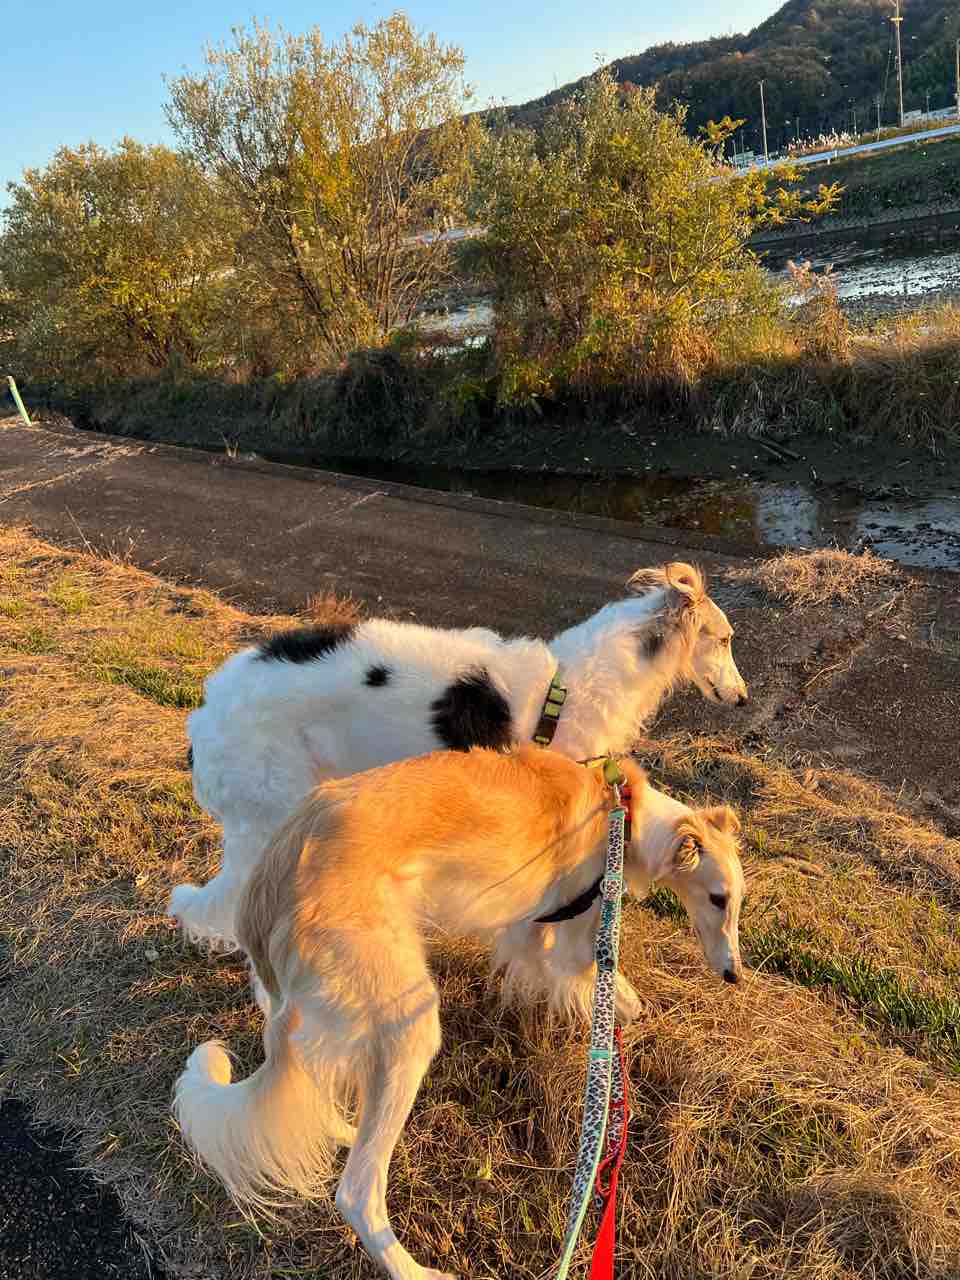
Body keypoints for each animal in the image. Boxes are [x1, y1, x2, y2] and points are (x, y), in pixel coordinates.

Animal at [174, 745, 745, 1280]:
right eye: (718, 899)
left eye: (737, 901)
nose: (734, 975)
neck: (622, 815)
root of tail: (273, 881)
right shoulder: (575, 942)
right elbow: (605, 986)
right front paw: (629, 1023)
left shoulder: (529, 931)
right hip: (408, 1022)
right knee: (356, 1193)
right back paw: (411, 1266)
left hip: (319, 1010)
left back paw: (339, 1128)